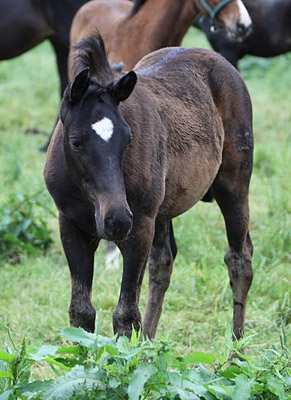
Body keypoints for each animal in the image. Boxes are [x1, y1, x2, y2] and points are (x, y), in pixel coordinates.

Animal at [44, 32, 256, 342]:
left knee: (239, 260)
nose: (117, 220)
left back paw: (236, 350)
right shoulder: (71, 225)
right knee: (162, 263)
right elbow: (81, 312)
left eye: (128, 138)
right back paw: (148, 343)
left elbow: (125, 315)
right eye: (76, 142)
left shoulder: (140, 226)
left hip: (234, 187)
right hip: (164, 209)